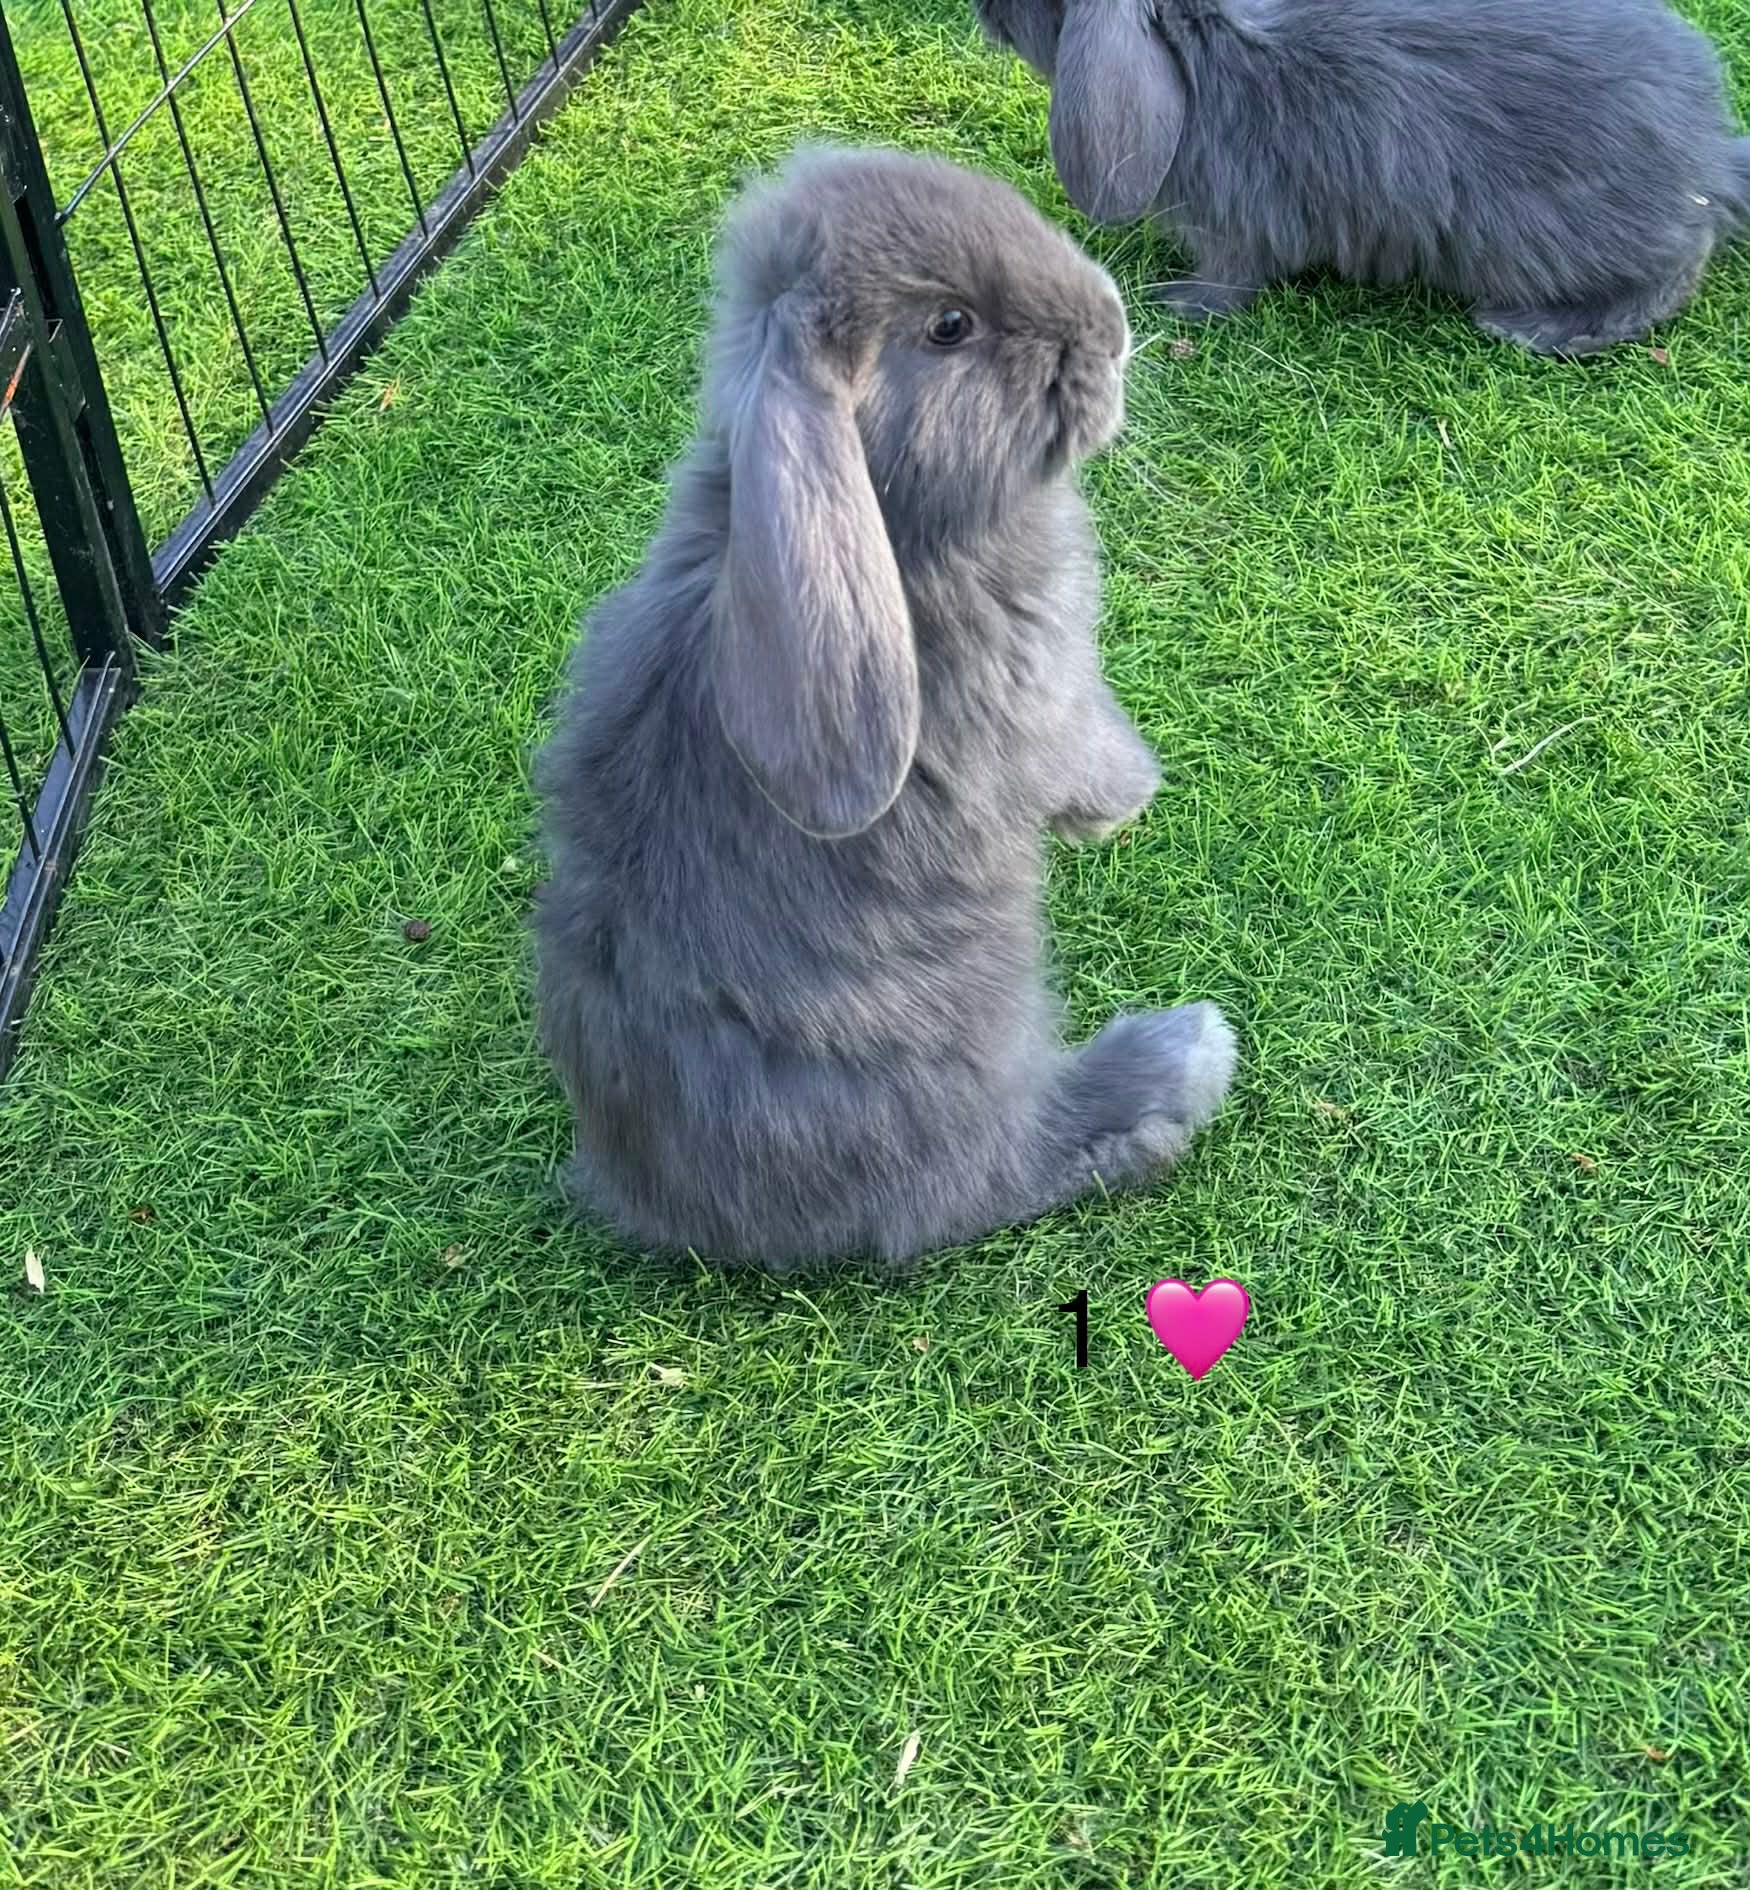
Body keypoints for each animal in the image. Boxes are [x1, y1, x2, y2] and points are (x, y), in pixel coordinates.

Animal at [533, 144, 1238, 1272]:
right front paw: (1128, 803)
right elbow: (1086, 751)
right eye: (949, 326)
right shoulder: (1046, 692)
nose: (1112, 324)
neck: (900, 520)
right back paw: (1177, 1059)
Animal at [972, 0, 1750, 355]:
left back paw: (1531, 328)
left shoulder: (1238, 225)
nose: (986, 9)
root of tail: (1710, 156)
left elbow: (1230, 278)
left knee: (1668, 278)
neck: (1204, 54)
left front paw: (1177, 304)